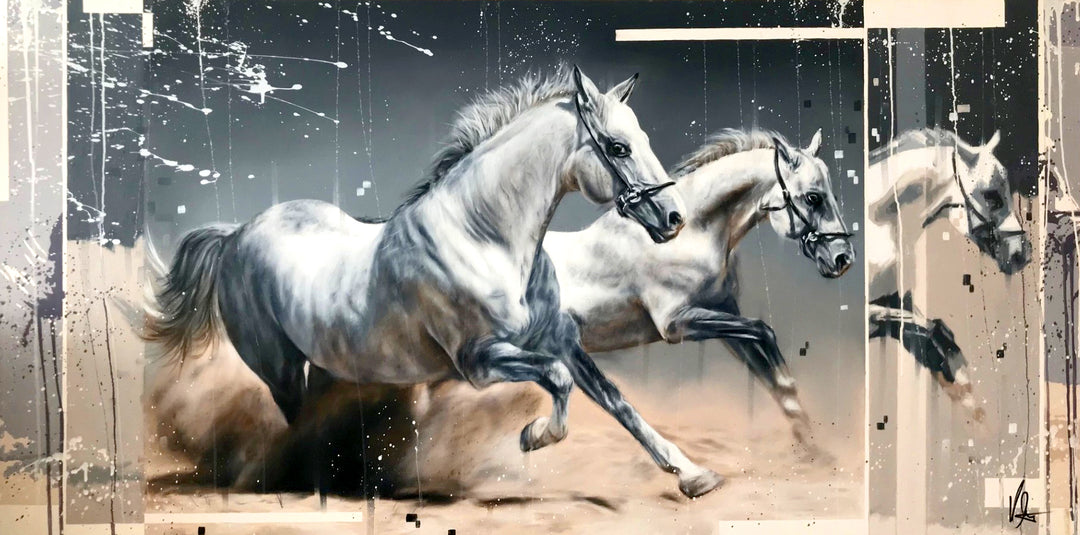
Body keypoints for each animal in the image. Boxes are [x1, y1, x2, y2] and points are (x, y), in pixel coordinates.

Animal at [147, 127, 853, 495]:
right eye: (815, 196)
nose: (843, 260)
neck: (695, 231)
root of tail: (237, 234)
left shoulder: (710, 318)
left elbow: (764, 356)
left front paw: (808, 447)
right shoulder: (677, 324)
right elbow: (761, 333)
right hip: (288, 367)